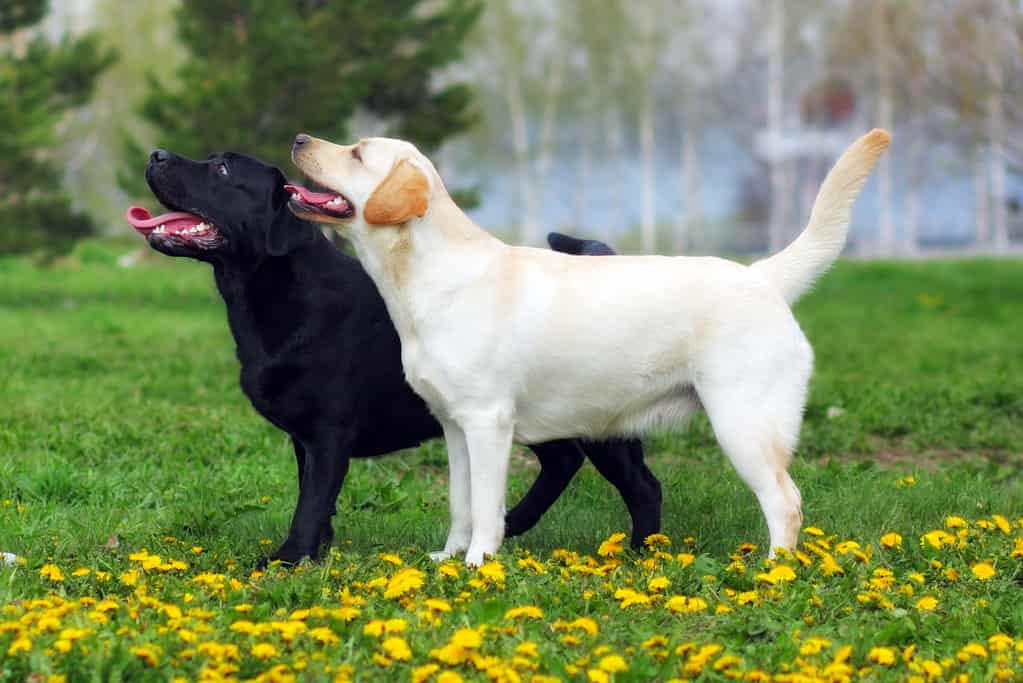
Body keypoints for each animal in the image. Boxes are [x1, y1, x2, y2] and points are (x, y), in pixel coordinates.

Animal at [127, 152, 658, 564]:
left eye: (220, 169)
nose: (155, 154)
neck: (278, 293)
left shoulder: (328, 432)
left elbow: (311, 501)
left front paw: (287, 559)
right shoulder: (304, 439)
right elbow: (315, 498)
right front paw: (318, 552)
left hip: (599, 420)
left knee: (641, 485)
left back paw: (642, 553)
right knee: (563, 459)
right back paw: (519, 521)